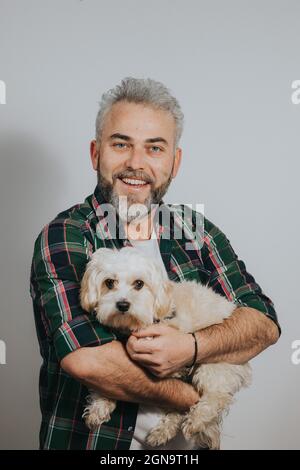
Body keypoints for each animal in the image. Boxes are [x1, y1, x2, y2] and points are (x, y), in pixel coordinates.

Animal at [79, 246, 251, 448]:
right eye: (109, 282)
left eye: (139, 284)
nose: (122, 304)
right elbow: (112, 378)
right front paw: (99, 405)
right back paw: (162, 432)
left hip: (213, 367)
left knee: (217, 397)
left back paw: (196, 420)